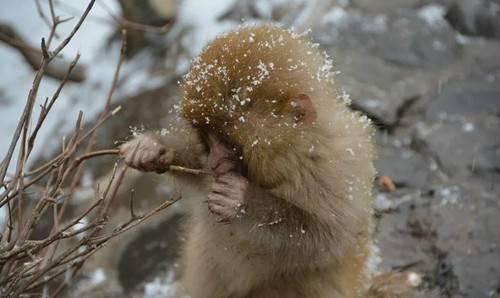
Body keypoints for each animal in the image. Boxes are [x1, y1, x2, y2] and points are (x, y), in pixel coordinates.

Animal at [119, 23, 412, 298]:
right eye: (207, 139)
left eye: (226, 142)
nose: (214, 161)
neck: (293, 152)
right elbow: (195, 169)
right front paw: (154, 147)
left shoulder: (334, 165)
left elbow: (326, 239)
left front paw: (242, 200)